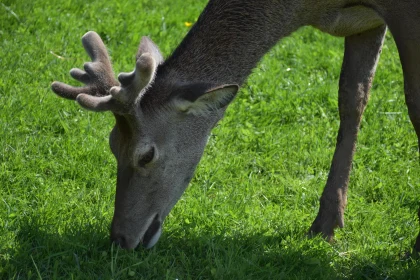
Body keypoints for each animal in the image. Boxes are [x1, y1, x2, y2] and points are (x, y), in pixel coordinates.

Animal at [50, 0, 420, 253]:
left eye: (146, 155)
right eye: (113, 143)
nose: (119, 238)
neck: (308, 9)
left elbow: (413, 104)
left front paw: (414, 248)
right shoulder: (361, 23)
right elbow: (351, 99)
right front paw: (325, 225)